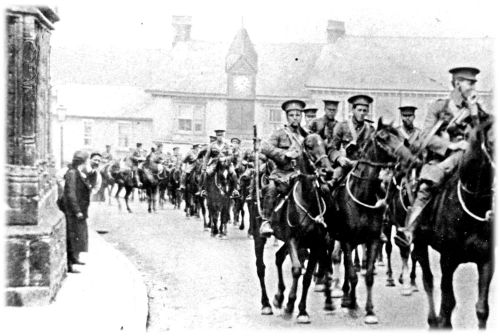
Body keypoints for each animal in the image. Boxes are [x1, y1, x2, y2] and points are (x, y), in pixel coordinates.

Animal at [330, 119, 416, 326]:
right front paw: (352, 305)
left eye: (402, 138)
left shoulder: (373, 238)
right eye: (383, 138)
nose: (410, 159)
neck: (363, 195)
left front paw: (369, 311)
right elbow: (353, 274)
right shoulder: (346, 239)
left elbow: (368, 275)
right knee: (338, 259)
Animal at [412, 115, 494, 328]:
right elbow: (448, 302)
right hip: (420, 243)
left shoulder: (487, 260)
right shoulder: (447, 259)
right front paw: (441, 321)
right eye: (491, 142)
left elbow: (482, 309)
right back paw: (432, 320)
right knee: (428, 280)